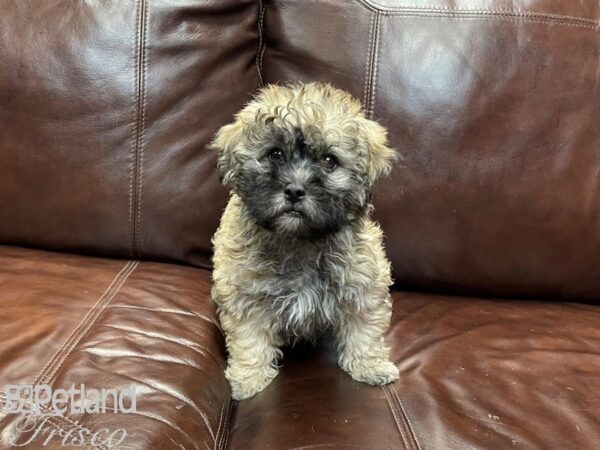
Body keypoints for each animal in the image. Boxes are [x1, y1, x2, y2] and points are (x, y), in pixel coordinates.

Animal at [210, 82, 398, 400]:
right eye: (275, 154)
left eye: (329, 161)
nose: (295, 191)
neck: (300, 240)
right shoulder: (244, 293)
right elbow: (250, 337)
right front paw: (250, 378)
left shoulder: (363, 284)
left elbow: (365, 328)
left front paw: (371, 366)